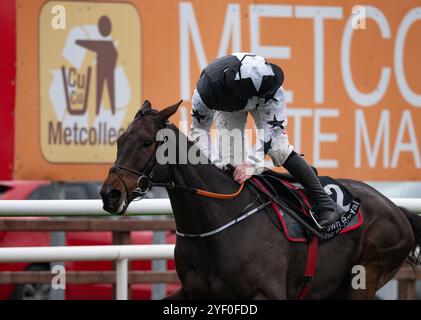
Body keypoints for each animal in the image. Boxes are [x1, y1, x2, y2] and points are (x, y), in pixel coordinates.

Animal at [101, 100, 420, 300]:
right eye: (119, 141)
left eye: (146, 142)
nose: (109, 193)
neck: (215, 222)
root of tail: (396, 209)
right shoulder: (192, 291)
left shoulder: (267, 293)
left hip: (365, 276)